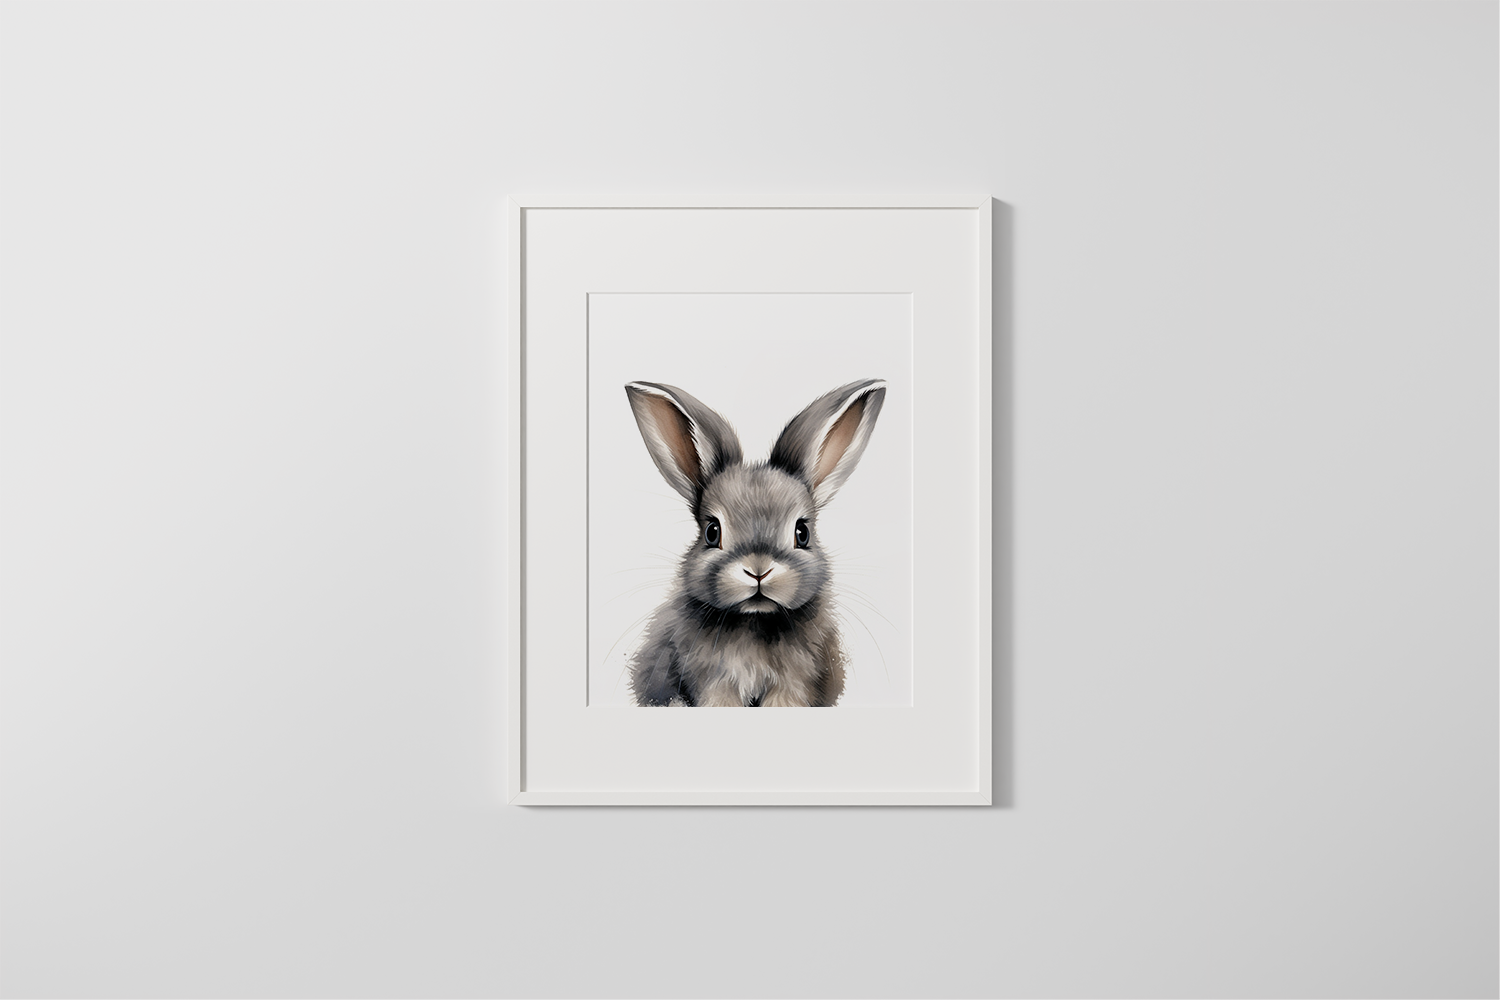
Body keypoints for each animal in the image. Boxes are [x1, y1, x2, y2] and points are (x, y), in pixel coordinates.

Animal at [623, 378, 886, 707]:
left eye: (802, 533)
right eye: (712, 532)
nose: (758, 571)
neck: (755, 620)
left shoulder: (793, 684)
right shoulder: (714, 682)